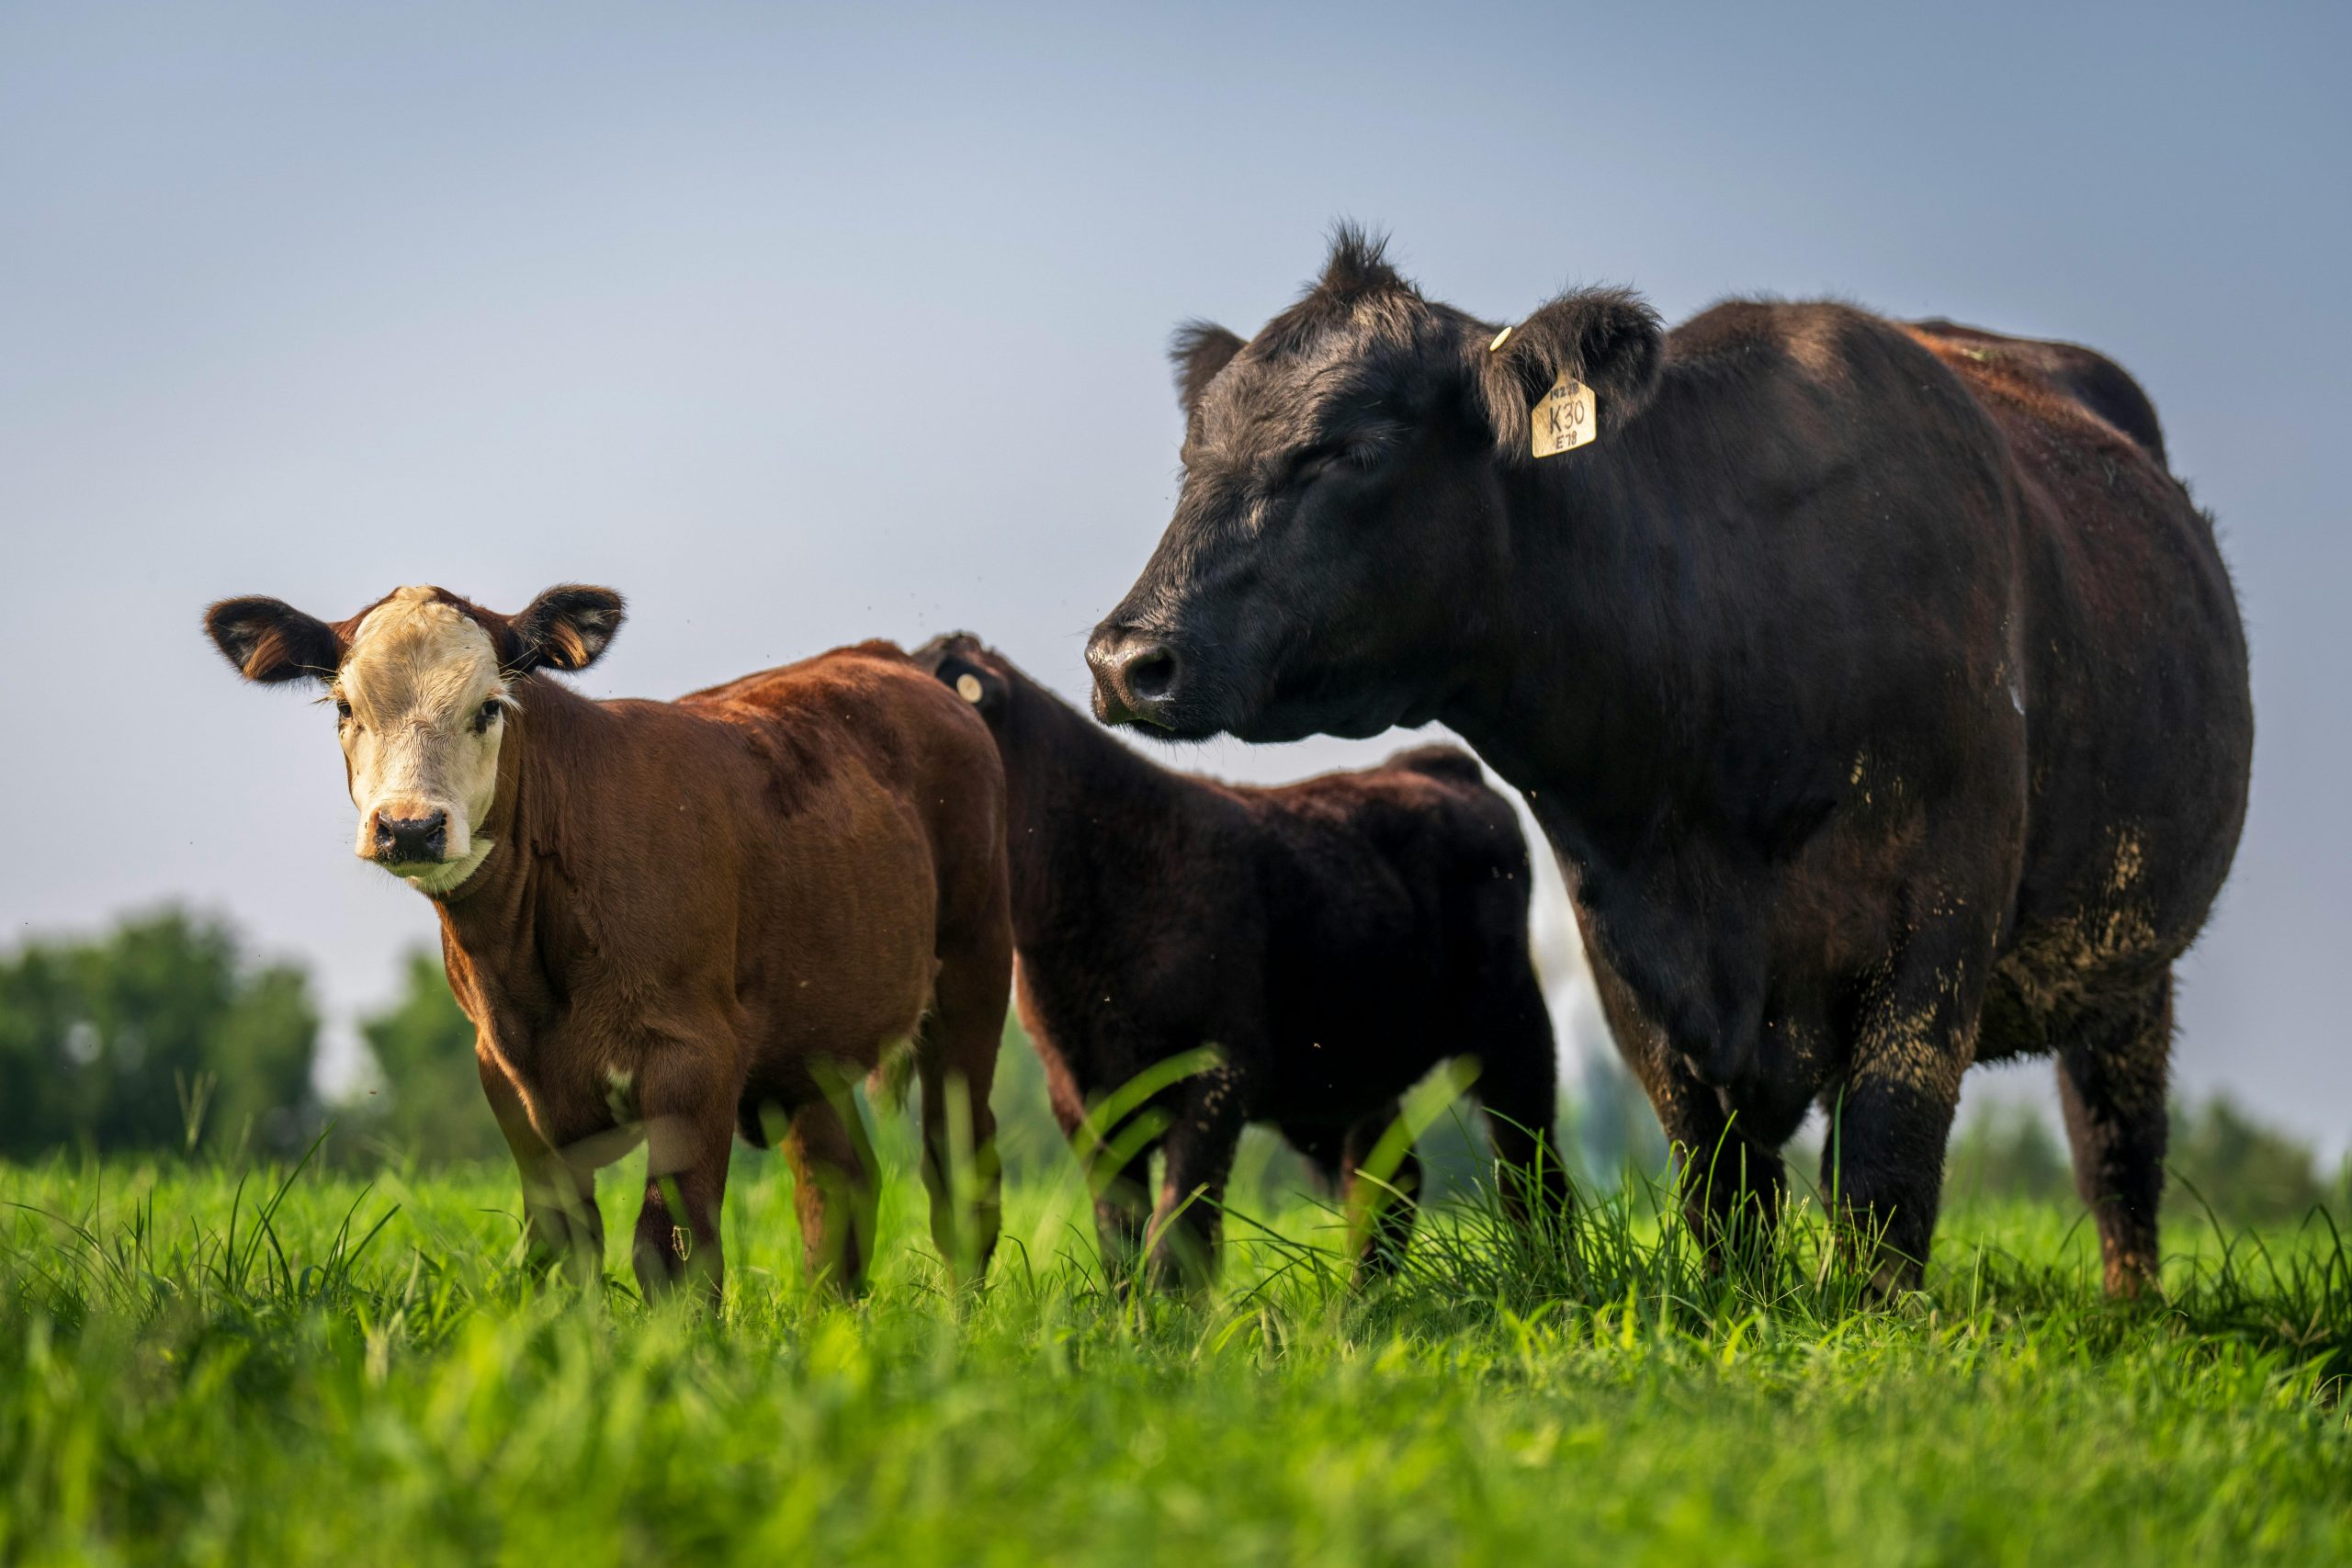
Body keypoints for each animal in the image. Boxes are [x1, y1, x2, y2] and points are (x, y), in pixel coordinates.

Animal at [204, 585, 1011, 1297]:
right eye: (346, 707)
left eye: (488, 707)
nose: (409, 826)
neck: (527, 963)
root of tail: (890, 658)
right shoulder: (510, 1079)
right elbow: (564, 1246)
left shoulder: (695, 1064)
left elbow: (671, 1251)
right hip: (809, 1041)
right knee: (837, 1184)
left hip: (971, 979)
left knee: (961, 1175)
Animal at [912, 634, 1561, 1288]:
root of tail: (1432, 762)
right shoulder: (1083, 1093)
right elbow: (1120, 1235)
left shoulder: (1221, 1070)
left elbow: (1179, 1230)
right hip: (1359, 1064)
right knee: (1389, 1186)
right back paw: (1359, 1305)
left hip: (1514, 1027)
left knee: (1528, 1168)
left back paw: (1549, 1280)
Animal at [1091, 226, 2248, 1297]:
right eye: (1193, 455)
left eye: (1347, 449)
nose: (1124, 659)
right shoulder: (1628, 947)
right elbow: (1716, 1180)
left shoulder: (1942, 917)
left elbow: (1884, 1161)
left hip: (2131, 953)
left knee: (2116, 1143)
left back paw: (2131, 1310)